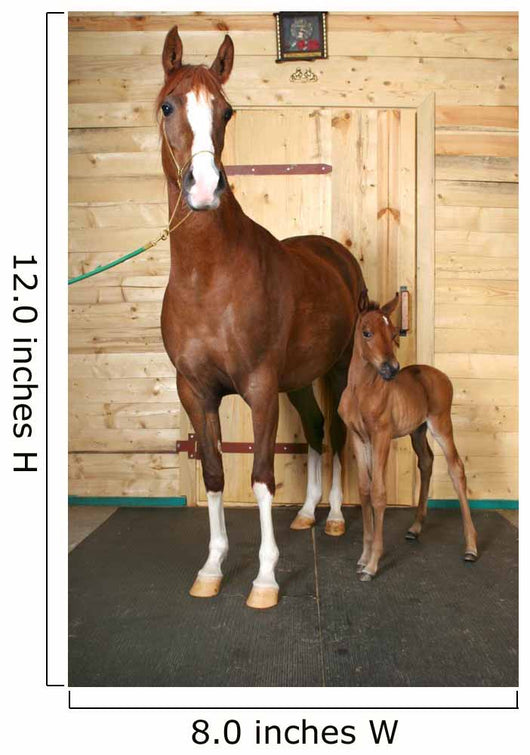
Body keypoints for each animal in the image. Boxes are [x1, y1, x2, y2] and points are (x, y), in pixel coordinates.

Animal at [157, 27, 366, 608]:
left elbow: (261, 476)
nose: (205, 187)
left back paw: (334, 516)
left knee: (335, 433)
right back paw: (307, 513)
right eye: (168, 105)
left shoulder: (258, 386)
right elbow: (213, 473)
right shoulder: (195, 391)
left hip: (334, 370)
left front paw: (266, 578)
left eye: (227, 112)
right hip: (297, 383)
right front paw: (211, 568)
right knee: (314, 430)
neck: (209, 278)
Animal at [338, 290, 479, 581]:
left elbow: (379, 493)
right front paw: (363, 557)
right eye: (367, 332)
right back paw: (415, 528)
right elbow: (364, 489)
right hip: (418, 431)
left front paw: (372, 564)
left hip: (441, 425)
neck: (361, 392)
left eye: (393, 332)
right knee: (426, 462)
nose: (392, 368)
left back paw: (471, 546)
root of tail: (442, 375)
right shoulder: (359, 438)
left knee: (456, 469)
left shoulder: (381, 436)